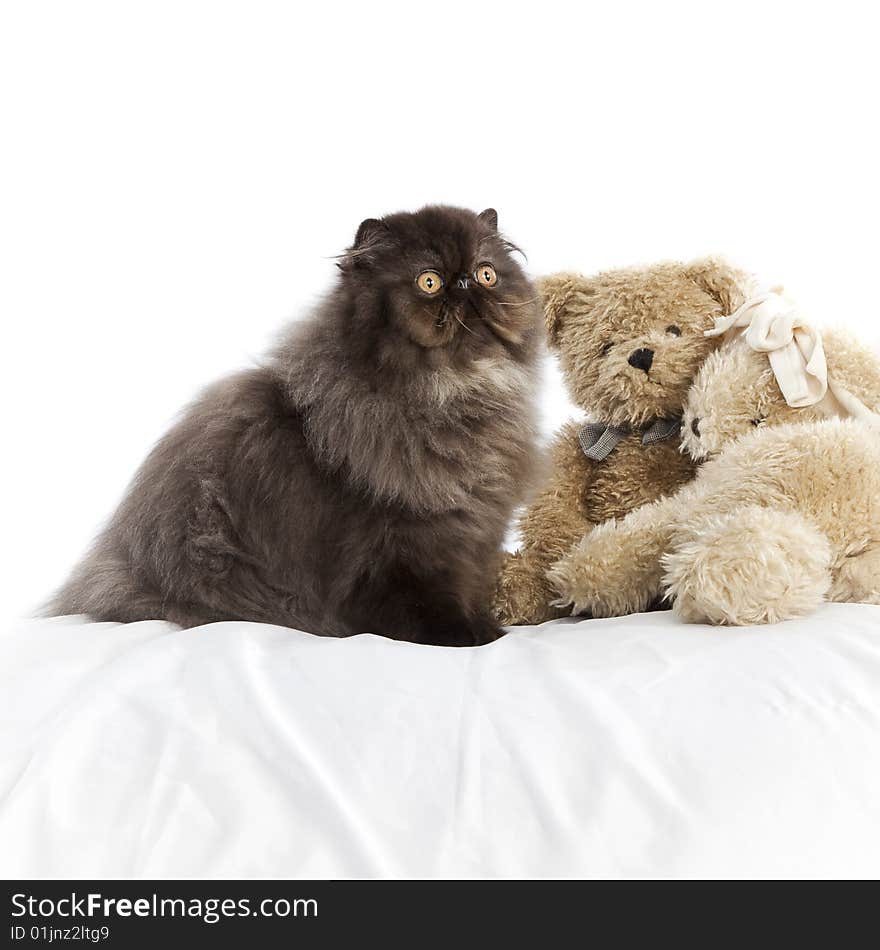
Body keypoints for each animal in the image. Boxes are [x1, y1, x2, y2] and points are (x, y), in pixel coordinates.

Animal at [51, 206, 544, 648]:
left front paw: (488, 627)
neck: (453, 396)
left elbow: (471, 588)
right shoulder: (405, 545)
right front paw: (468, 638)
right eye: (429, 282)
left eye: (486, 274)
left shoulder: (474, 536)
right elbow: (426, 602)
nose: (465, 285)